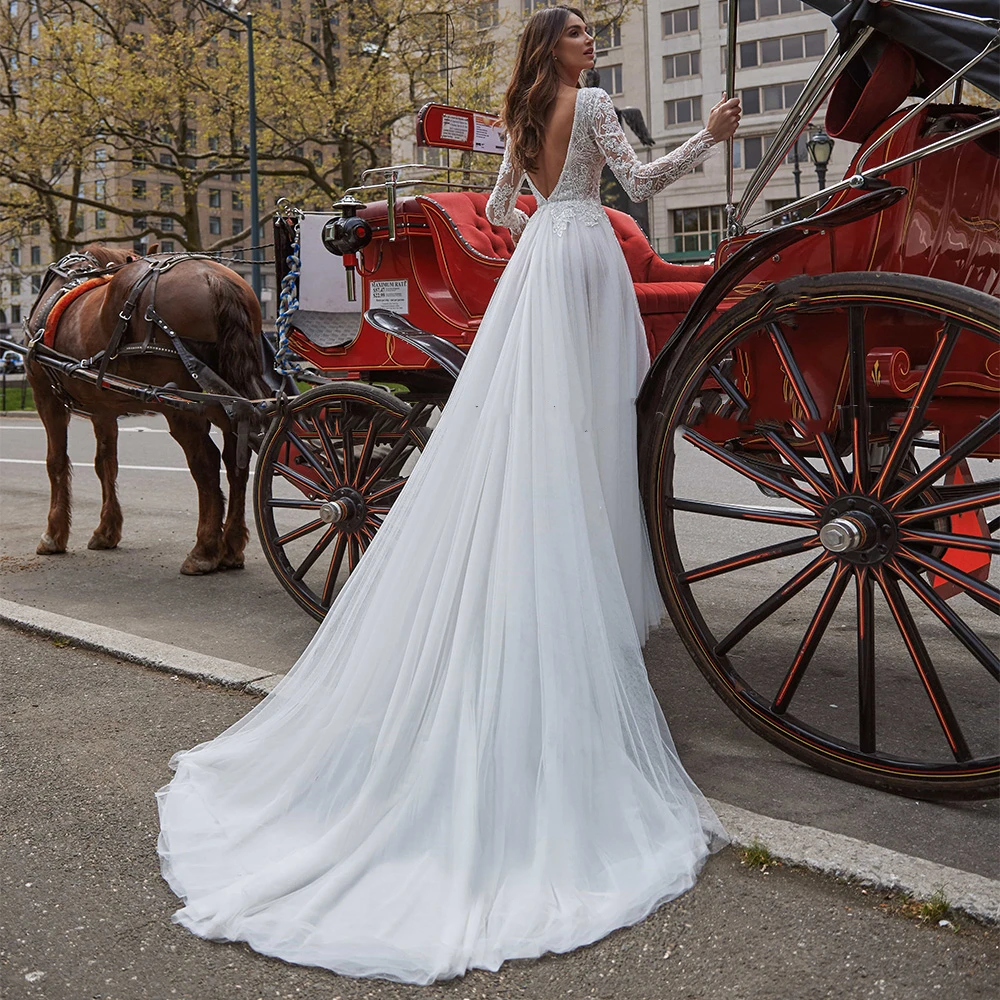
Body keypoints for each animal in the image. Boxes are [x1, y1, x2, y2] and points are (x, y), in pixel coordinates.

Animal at [26, 245, 270, 576]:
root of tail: (214, 277)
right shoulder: (103, 410)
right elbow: (106, 464)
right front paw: (106, 531)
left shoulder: (45, 397)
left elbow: (55, 462)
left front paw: (53, 534)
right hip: (227, 397)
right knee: (236, 461)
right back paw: (231, 547)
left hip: (182, 407)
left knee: (206, 462)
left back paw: (204, 550)